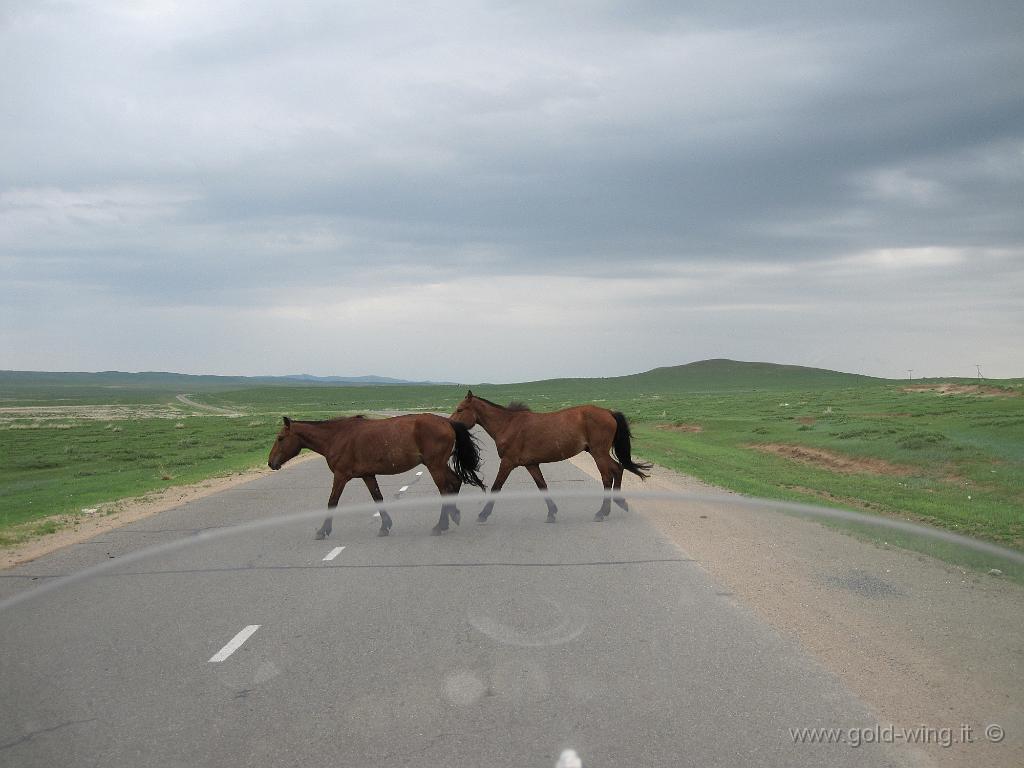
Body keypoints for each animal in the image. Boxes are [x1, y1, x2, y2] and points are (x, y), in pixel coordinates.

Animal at [268, 417, 483, 536]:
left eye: (280, 438)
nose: (271, 463)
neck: (337, 437)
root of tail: (447, 421)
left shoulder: (340, 476)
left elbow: (332, 501)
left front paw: (323, 530)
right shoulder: (368, 475)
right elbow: (377, 497)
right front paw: (385, 526)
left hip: (434, 465)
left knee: (446, 489)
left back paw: (441, 525)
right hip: (438, 465)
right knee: (455, 482)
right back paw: (453, 515)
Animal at [452, 391, 651, 524]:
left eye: (460, 409)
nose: (451, 425)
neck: (507, 425)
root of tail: (608, 412)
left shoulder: (507, 463)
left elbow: (496, 487)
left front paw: (483, 514)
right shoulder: (531, 464)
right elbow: (542, 486)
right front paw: (552, 512)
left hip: (599, 453)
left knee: (609, 475)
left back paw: (603, 512)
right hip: (597, 452)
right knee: (618, 469)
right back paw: (618, 503)